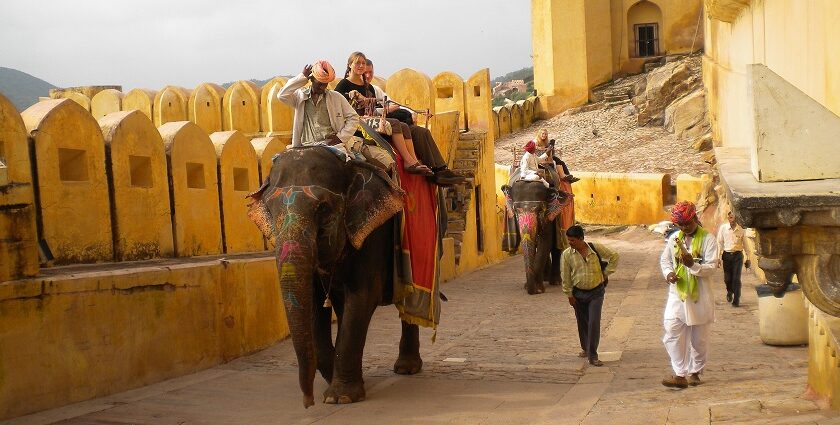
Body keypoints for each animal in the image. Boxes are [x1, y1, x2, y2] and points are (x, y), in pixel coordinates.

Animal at [246, 147, 424, 408]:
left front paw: (340, 397)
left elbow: (362, 297)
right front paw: (336, 386)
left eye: (323, 208)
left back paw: (406, 368)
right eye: (270, 208)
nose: (308, 402)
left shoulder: (372, 233)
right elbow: (313, 305)